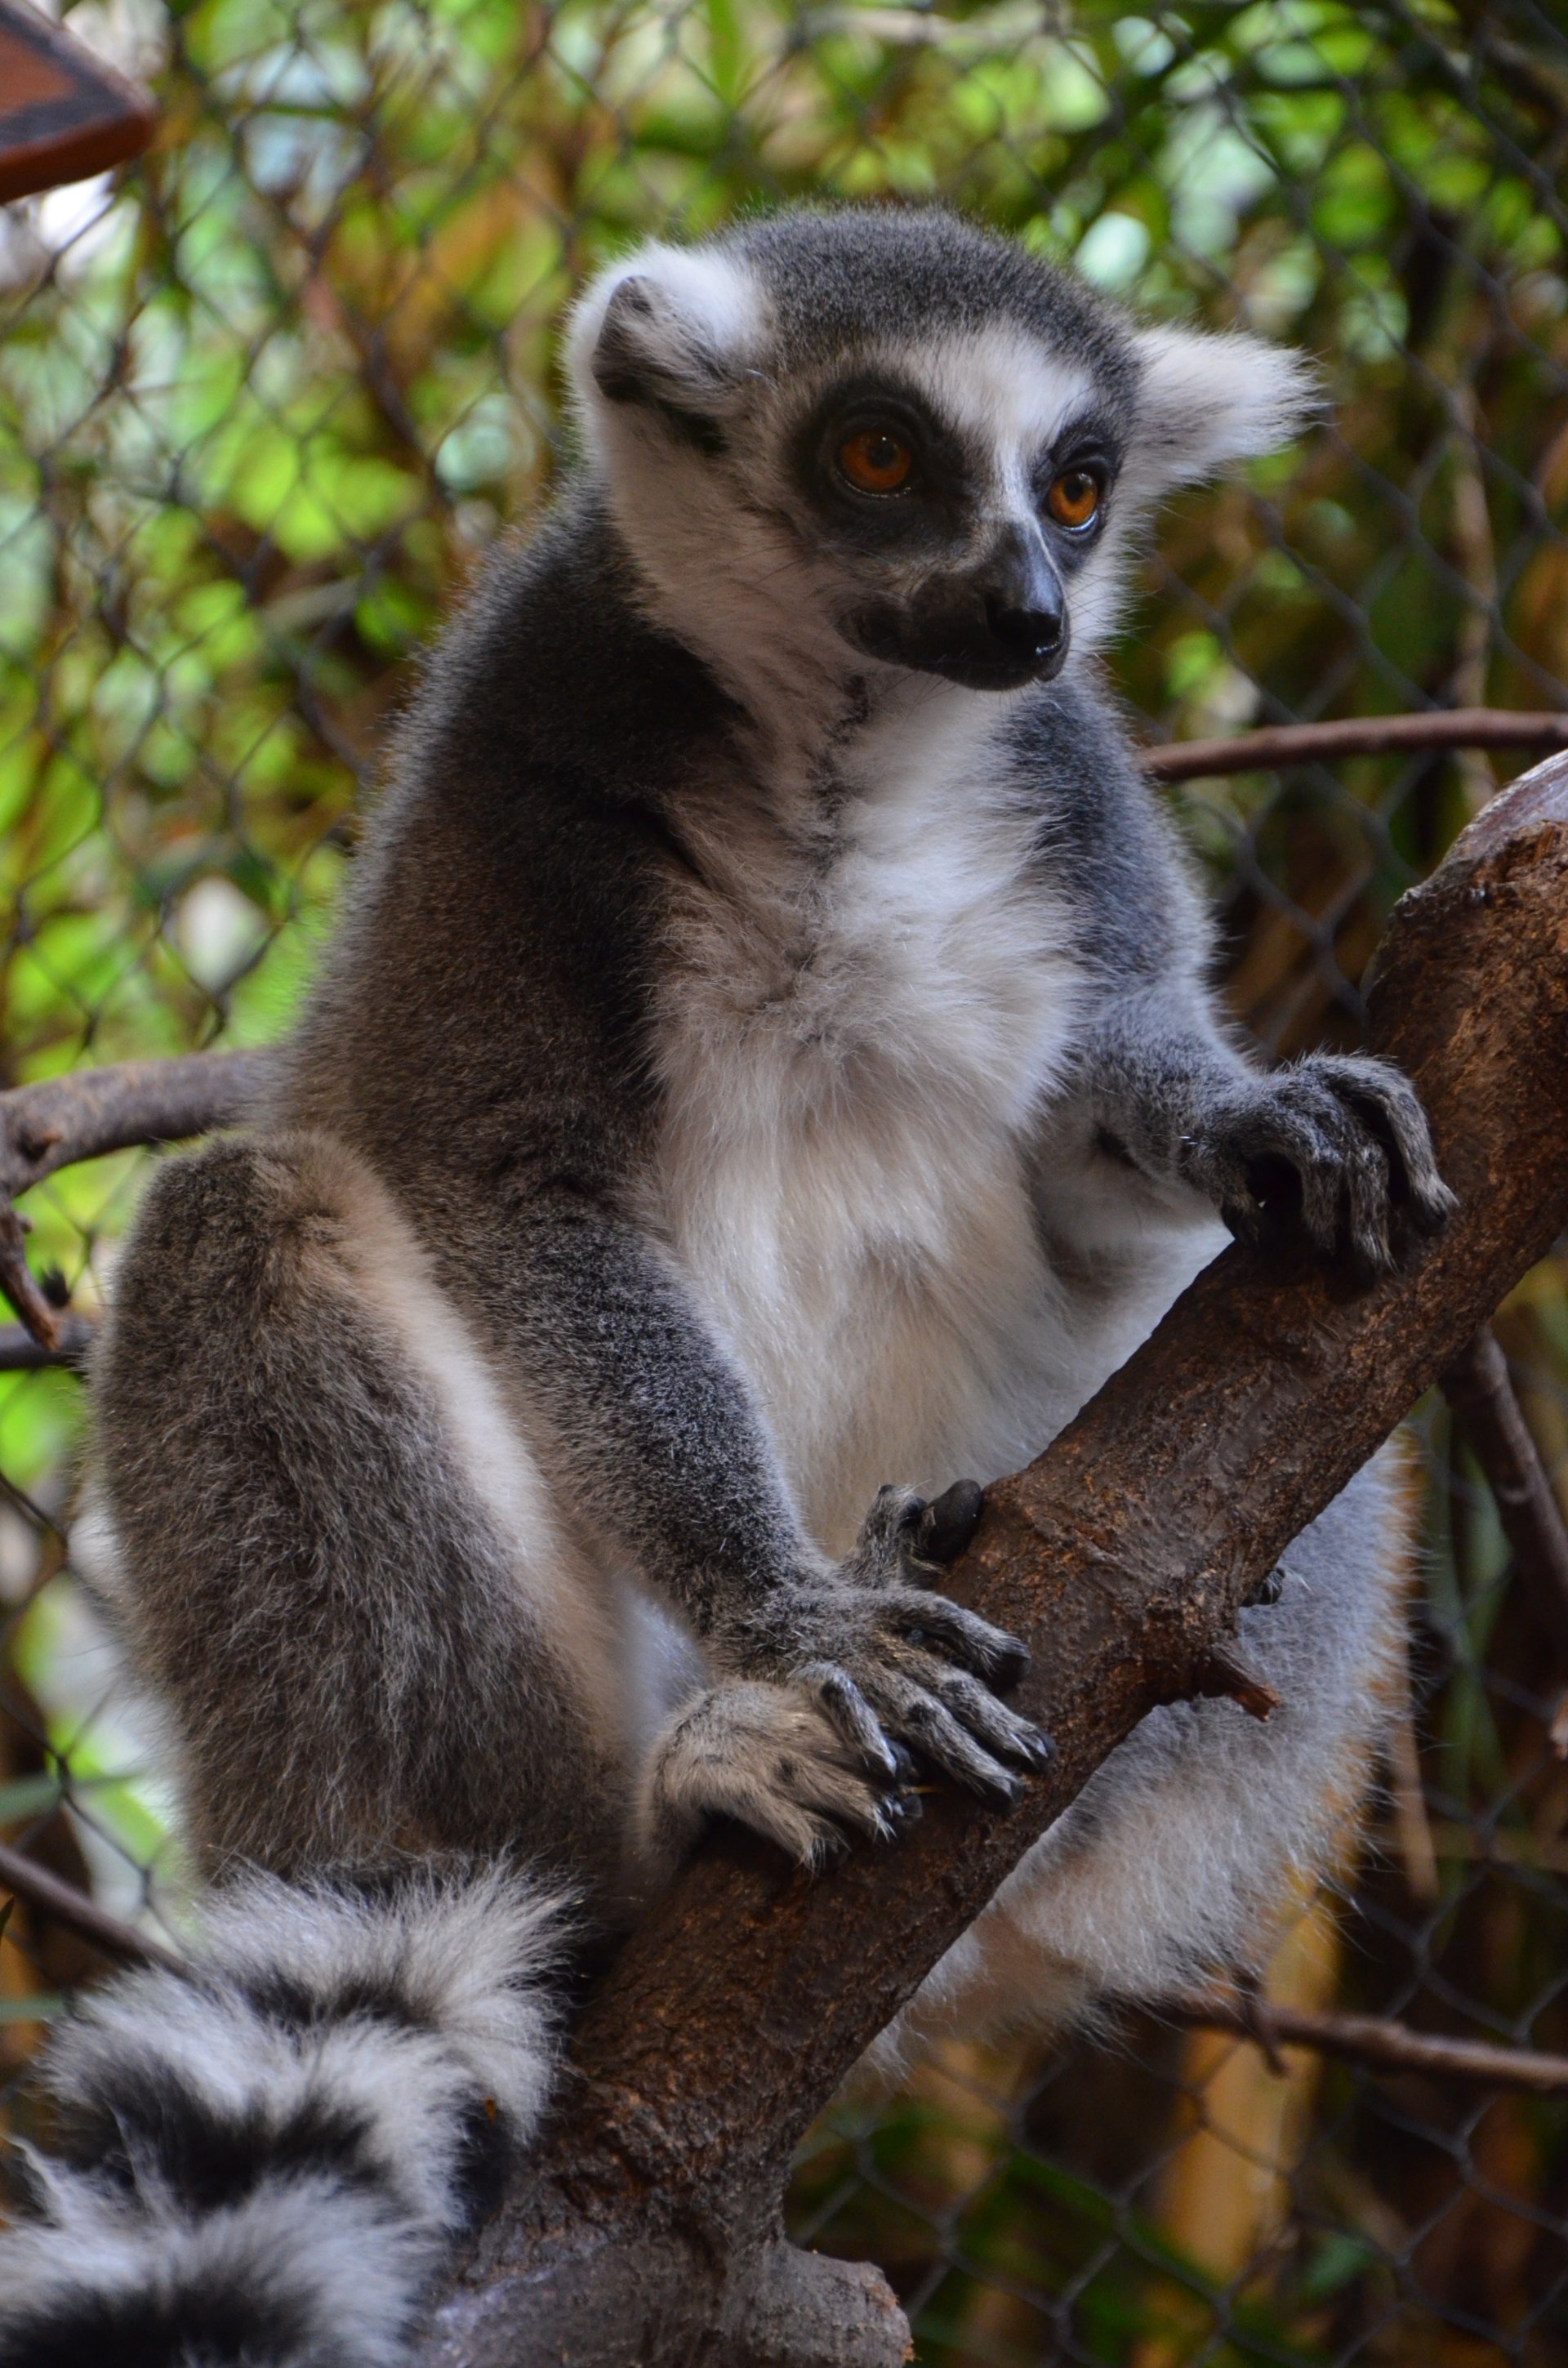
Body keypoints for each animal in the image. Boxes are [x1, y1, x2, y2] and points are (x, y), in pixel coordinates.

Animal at [0, 204, 1451, 2368]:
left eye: (1080, 484)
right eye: (879, 455)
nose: (1029, 612)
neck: (857, 753)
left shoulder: (1072, 817)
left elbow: (1109, 1158)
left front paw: (1240, 1115)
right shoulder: (515, 780)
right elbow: (524, 1205)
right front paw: (792, 1619)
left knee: (1274, 1418)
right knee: (246, 1229)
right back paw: (648, 1822)